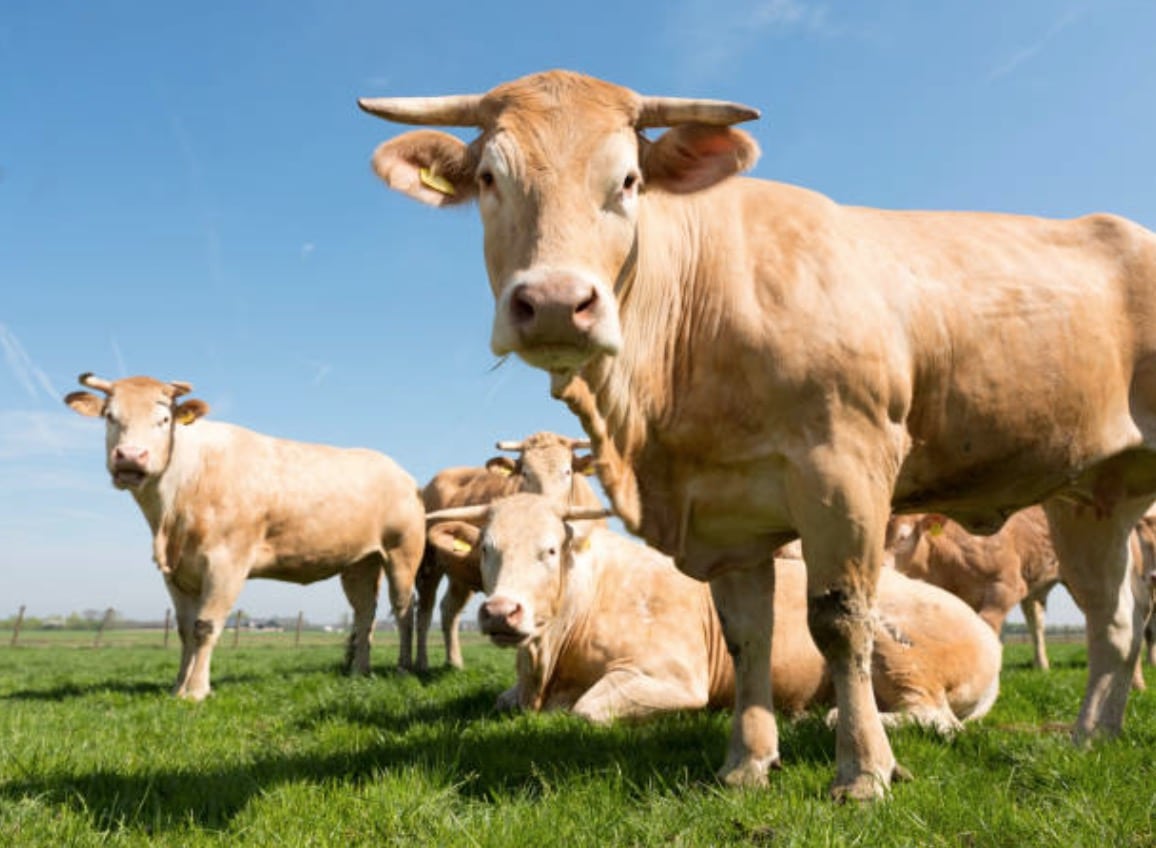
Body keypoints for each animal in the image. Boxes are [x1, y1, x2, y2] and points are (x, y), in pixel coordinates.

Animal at [64, 373, 425, 700]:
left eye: (163, 419)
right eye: (110, 416)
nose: (129, 456)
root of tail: (399, 472)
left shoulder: (227, 563)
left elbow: (205, 627)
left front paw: (196, 691)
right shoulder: (176, 573)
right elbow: (184, 629)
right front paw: (177, 687)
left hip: (402, 552)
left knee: (404, 609)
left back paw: (404, 667)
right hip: (359, 563)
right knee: (365, 614)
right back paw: (359, 672)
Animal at [415, 432, 604, 670]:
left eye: (567, 471)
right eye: (525, 473)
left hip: (460, 575)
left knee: (449, 609)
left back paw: (455, 663)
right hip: (427, 566)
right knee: (423, 613)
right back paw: (419, 663)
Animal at [427, 493, 1001, 733]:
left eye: (549, 549)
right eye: (487, 550)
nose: (501, 611)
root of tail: (989, 638)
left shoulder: (672, 676)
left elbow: (586, 711)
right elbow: (502, 701)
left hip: (898, 653)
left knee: (938, 720)